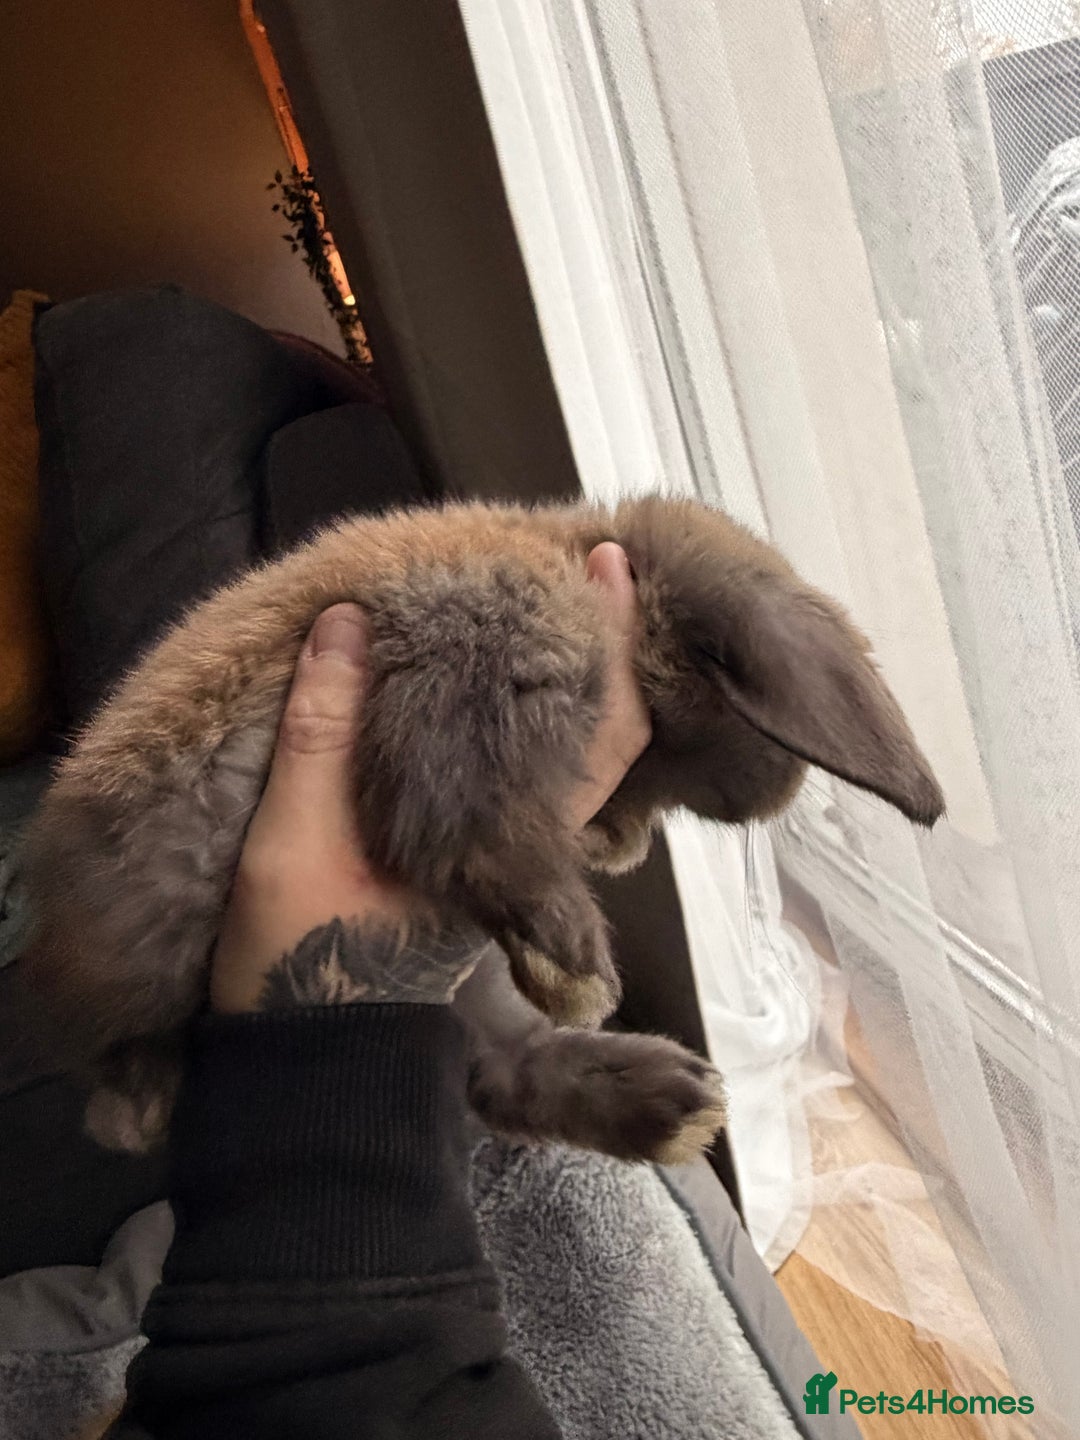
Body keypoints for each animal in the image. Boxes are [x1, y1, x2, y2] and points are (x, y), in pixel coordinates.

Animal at [17, 494, 943, 1160]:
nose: (622, 843)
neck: (591, 553)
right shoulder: (481, 650)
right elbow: (455, 825)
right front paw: (578, 963)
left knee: (499, 1069)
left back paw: (669, 1101)